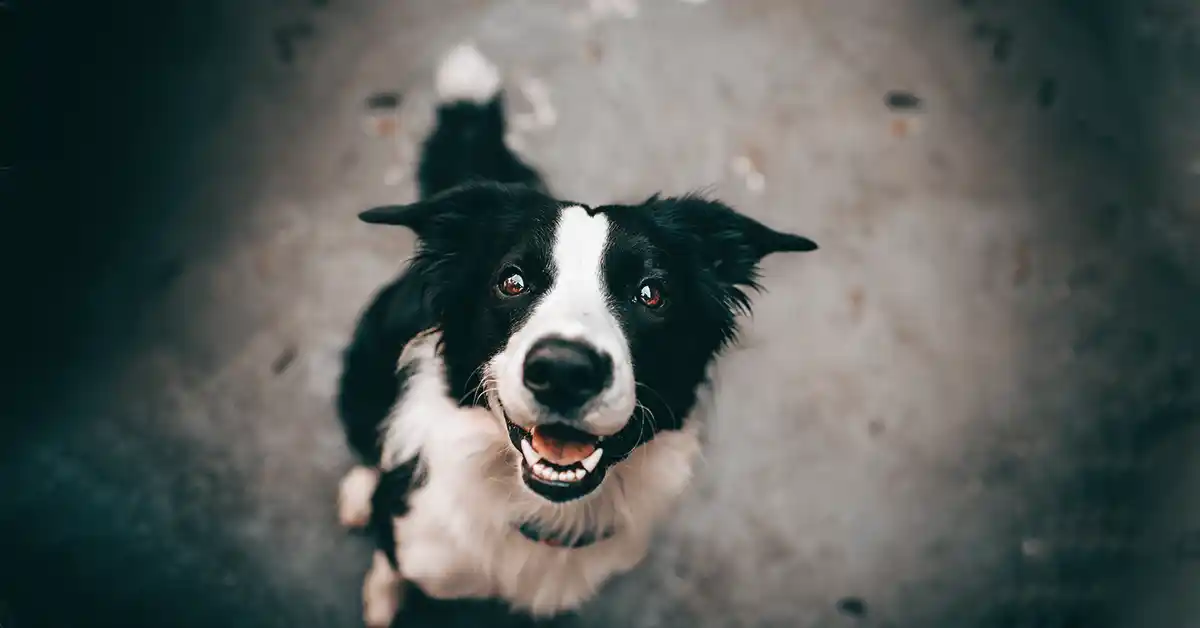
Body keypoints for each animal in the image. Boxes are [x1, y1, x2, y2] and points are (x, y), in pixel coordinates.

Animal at [333, 41, 816, 624]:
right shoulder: (411, 537)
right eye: (512, 281)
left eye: (651, 293)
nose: (564, 371)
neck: (542, 512)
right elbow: (389, 564)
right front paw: (382, 601)